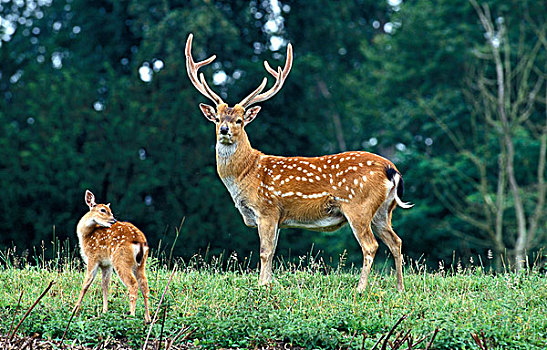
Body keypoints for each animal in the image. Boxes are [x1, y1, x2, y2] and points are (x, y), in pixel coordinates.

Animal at [186, 33, 414, 292]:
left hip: (358, 205)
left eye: (239, 120)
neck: (246, 174)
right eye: (217, 118)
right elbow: (273, 251)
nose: (224, 130)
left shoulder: (267, 209)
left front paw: (262, 286)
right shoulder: (278, 218)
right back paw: (400, 288)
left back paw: (360, 288)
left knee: (371, 245)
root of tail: (392, 169)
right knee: (396, 241)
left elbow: (265, 252)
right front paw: (269, 283)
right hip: (384, 210)